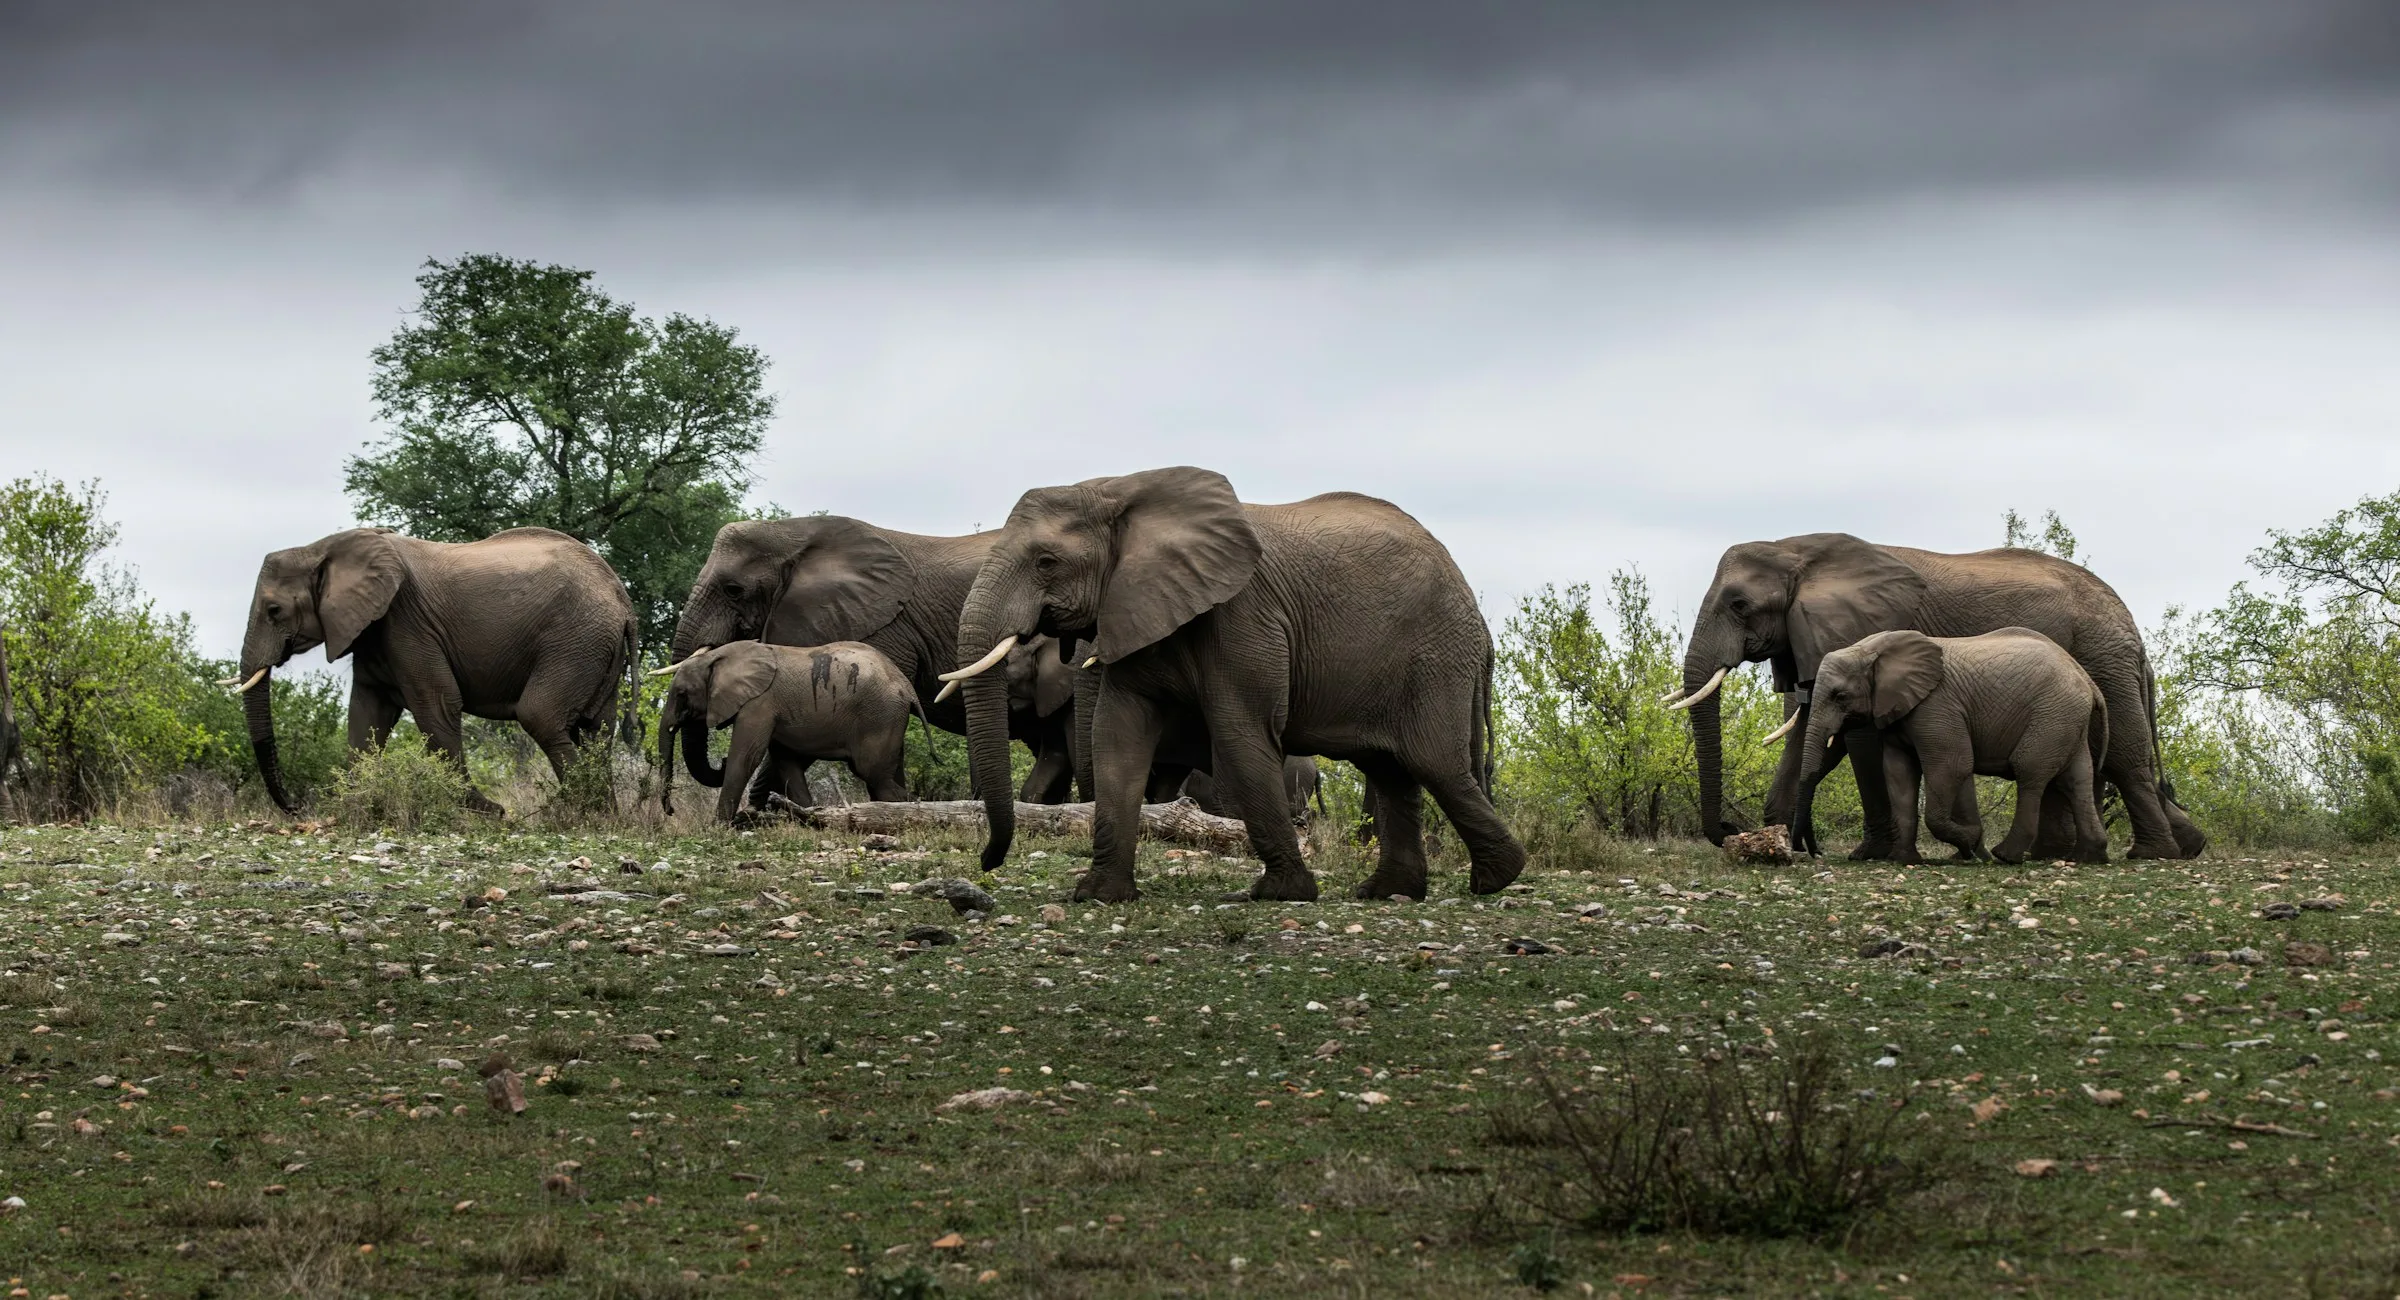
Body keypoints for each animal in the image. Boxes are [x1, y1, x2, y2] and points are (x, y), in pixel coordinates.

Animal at [233, 527, 635, 813]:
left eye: (274, 611)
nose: (295, 807)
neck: (320, 548)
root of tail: (623, 601)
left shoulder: (407, 620)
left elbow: (436, 704)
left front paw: (486, 812)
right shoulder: (375, 630)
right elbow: (367, 712)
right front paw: (355, 803)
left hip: (574, 638)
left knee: (541, 716)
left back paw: (577, 811)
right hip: (595, 648)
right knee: (597, 729)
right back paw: (603, 814)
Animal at [655, 641, 922, 821]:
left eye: (681, 694)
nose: (671, 811)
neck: (719, 656)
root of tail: (908, 687)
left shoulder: (760, 703)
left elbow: (745, 758)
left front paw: (719, 826)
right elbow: (785, 761)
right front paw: (809, 815)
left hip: (880, 716)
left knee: (872, 774)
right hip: (889, 719)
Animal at [942, 466, 1525, 904]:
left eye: (1046, 561)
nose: (988, 863)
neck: (1124, 491)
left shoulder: (1243, 615)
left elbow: (1239, 732)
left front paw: (1279, 894)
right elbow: (1117, 737)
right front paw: (1098, 895)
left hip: (1434, 656)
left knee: (1432, 761)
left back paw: (1497, 878)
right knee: (1389, 767)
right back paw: (1387, 892)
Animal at [1796, 629, 2109, 864]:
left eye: (1839, 696)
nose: (1814, 854)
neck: (1870, 649)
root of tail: (2087, 680)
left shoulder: (1935, 705)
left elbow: (1952, 765)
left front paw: (1970, 844)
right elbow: (1898, 773)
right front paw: (1905, 860)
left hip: (2052, 714)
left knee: (2030, 772)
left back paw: (2005, 856)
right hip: (2066, 718)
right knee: (2077, 780)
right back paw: (2088, 857)